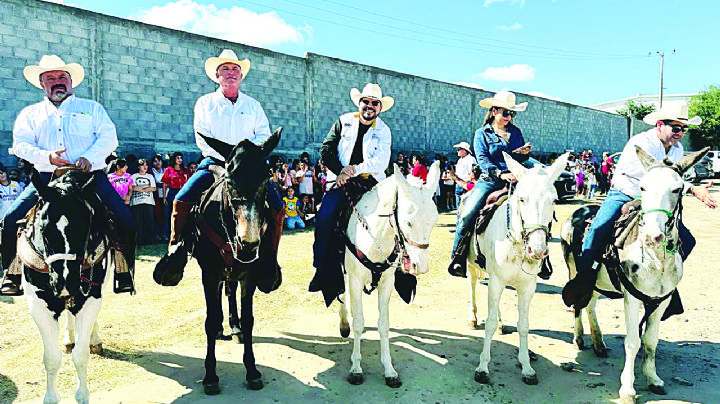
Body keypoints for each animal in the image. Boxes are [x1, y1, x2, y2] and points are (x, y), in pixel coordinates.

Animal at [21, 168, 110, 404]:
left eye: (85, 225)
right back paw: (69, 337)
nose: (65, 282)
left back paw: (93, 338)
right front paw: (51, 397)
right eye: (43, 228)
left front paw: (82, 395)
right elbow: (51, 358)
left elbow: (81, 355)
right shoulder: (38, 305)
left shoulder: (90, 298)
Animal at [340, 161, 442, 388]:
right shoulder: (356, 279)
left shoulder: (386, 282)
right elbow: (359, 322)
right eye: (409, 222)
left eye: (434, 221)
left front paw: (389, 370)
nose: (420, 266)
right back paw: (343, 324)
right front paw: (356, 367)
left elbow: (384, 325)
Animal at [472, 153, 568, 386]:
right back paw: (473, 317)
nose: (538, 249)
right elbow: (488, 324)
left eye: (554, 200)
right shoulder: (497, 281)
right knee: (472, 286)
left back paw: (501, 324)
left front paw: (527, 367)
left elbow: (523, 325)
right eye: (522, 199)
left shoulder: (527, 287)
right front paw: (483, 367)